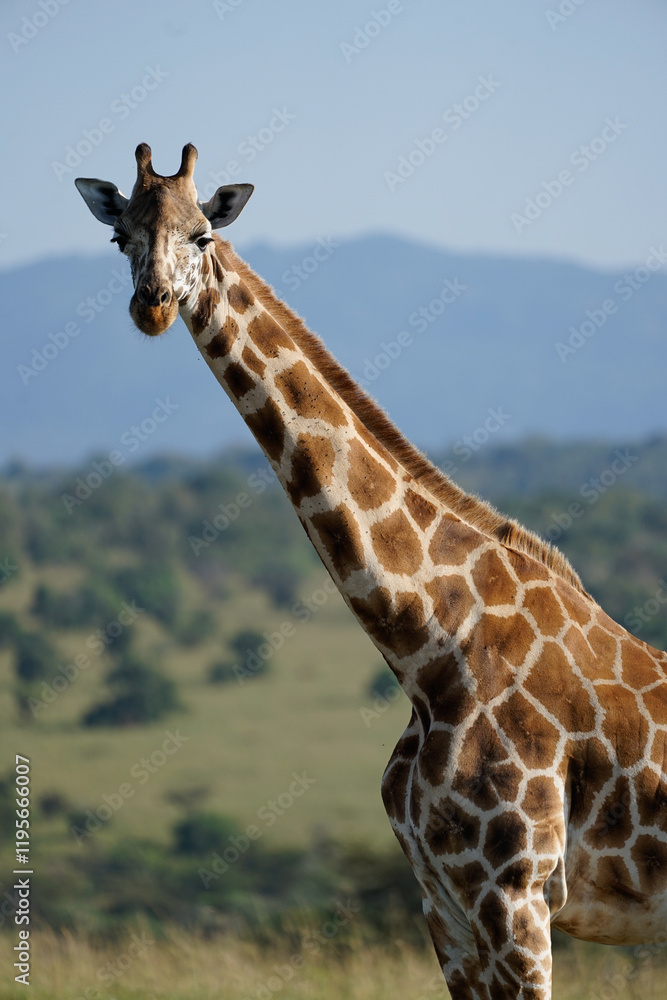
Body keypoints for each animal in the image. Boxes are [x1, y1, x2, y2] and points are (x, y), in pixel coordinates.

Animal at [75, 144, 667, 1000]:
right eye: (120, 236)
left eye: (201, 236)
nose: (151, 306)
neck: (427, 649)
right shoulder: (443, 904)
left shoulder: (517, 894)